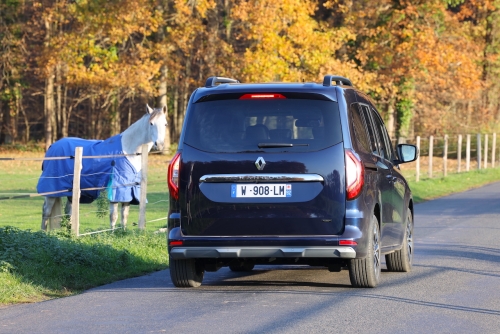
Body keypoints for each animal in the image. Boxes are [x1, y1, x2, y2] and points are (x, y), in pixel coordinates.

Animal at [39, 105, 168, 231]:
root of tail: (52, 146)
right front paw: (112, 233)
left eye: (165, 124)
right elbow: (114, 215)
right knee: (46, 211)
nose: (160, 145)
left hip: (71, 190)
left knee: (69, 211)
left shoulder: (128, 190)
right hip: (52, 190)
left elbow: (124, 215)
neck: (128, 152)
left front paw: (123, 232)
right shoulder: (116, 189)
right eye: (151, 123)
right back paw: (43, 232)